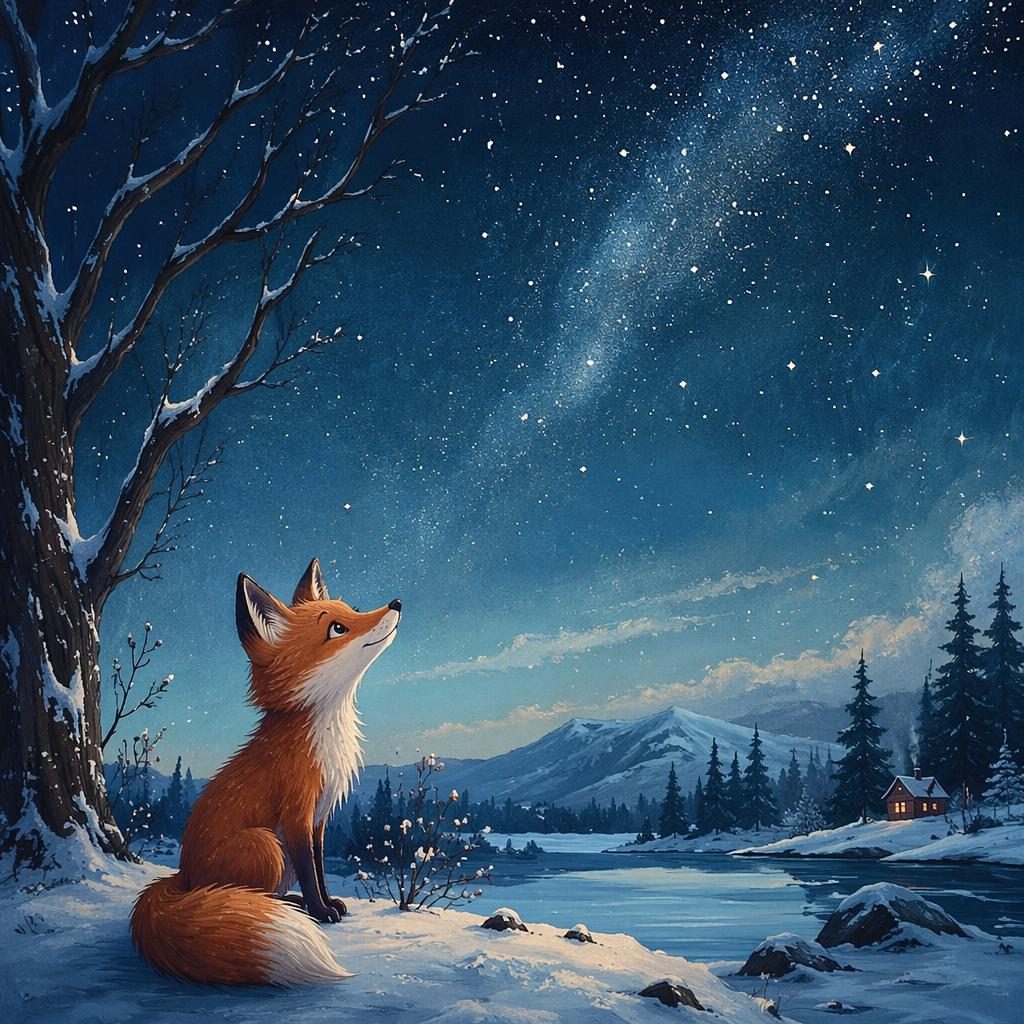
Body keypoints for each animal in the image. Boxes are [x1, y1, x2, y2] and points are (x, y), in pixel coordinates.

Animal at [130, 559, 401, 986]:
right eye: (337, 629)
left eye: (354, 610)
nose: (396, 603)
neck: (325, 735)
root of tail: (183, 877)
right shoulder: (296, 813)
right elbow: (309, 869)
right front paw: (321, 912)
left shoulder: (319, 819)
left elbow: (319, 867)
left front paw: (327, 903)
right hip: (265, 844)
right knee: (245, 895)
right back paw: (287, 905)